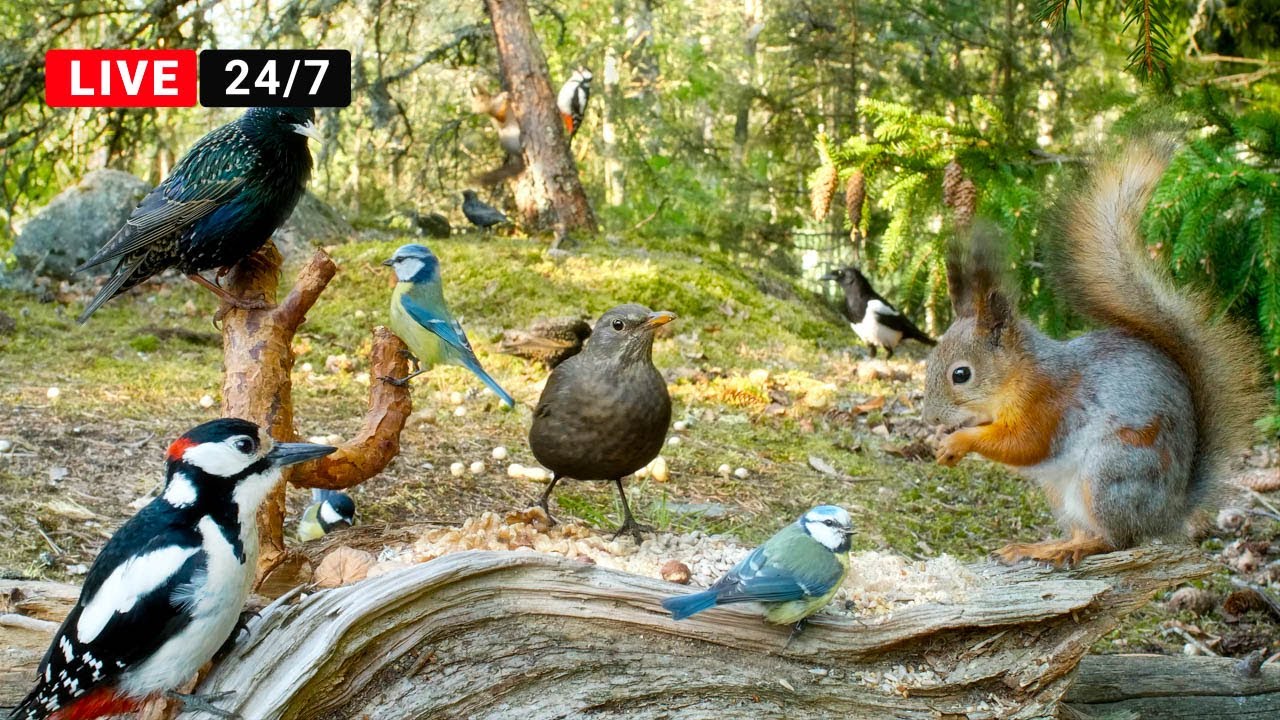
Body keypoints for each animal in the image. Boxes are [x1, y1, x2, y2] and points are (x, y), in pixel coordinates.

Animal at [922, 143, 1266, 567]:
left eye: (961, 374)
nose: (930, 418)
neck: (1019, 374)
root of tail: (1168, 512)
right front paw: (942, 441)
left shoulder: (1049, 403)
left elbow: (1025, 444)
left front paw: (959, 441)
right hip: (1062, 493)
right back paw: (1042, 546)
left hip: (1109, 474)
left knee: (1117, 539)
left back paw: (1075, 547)